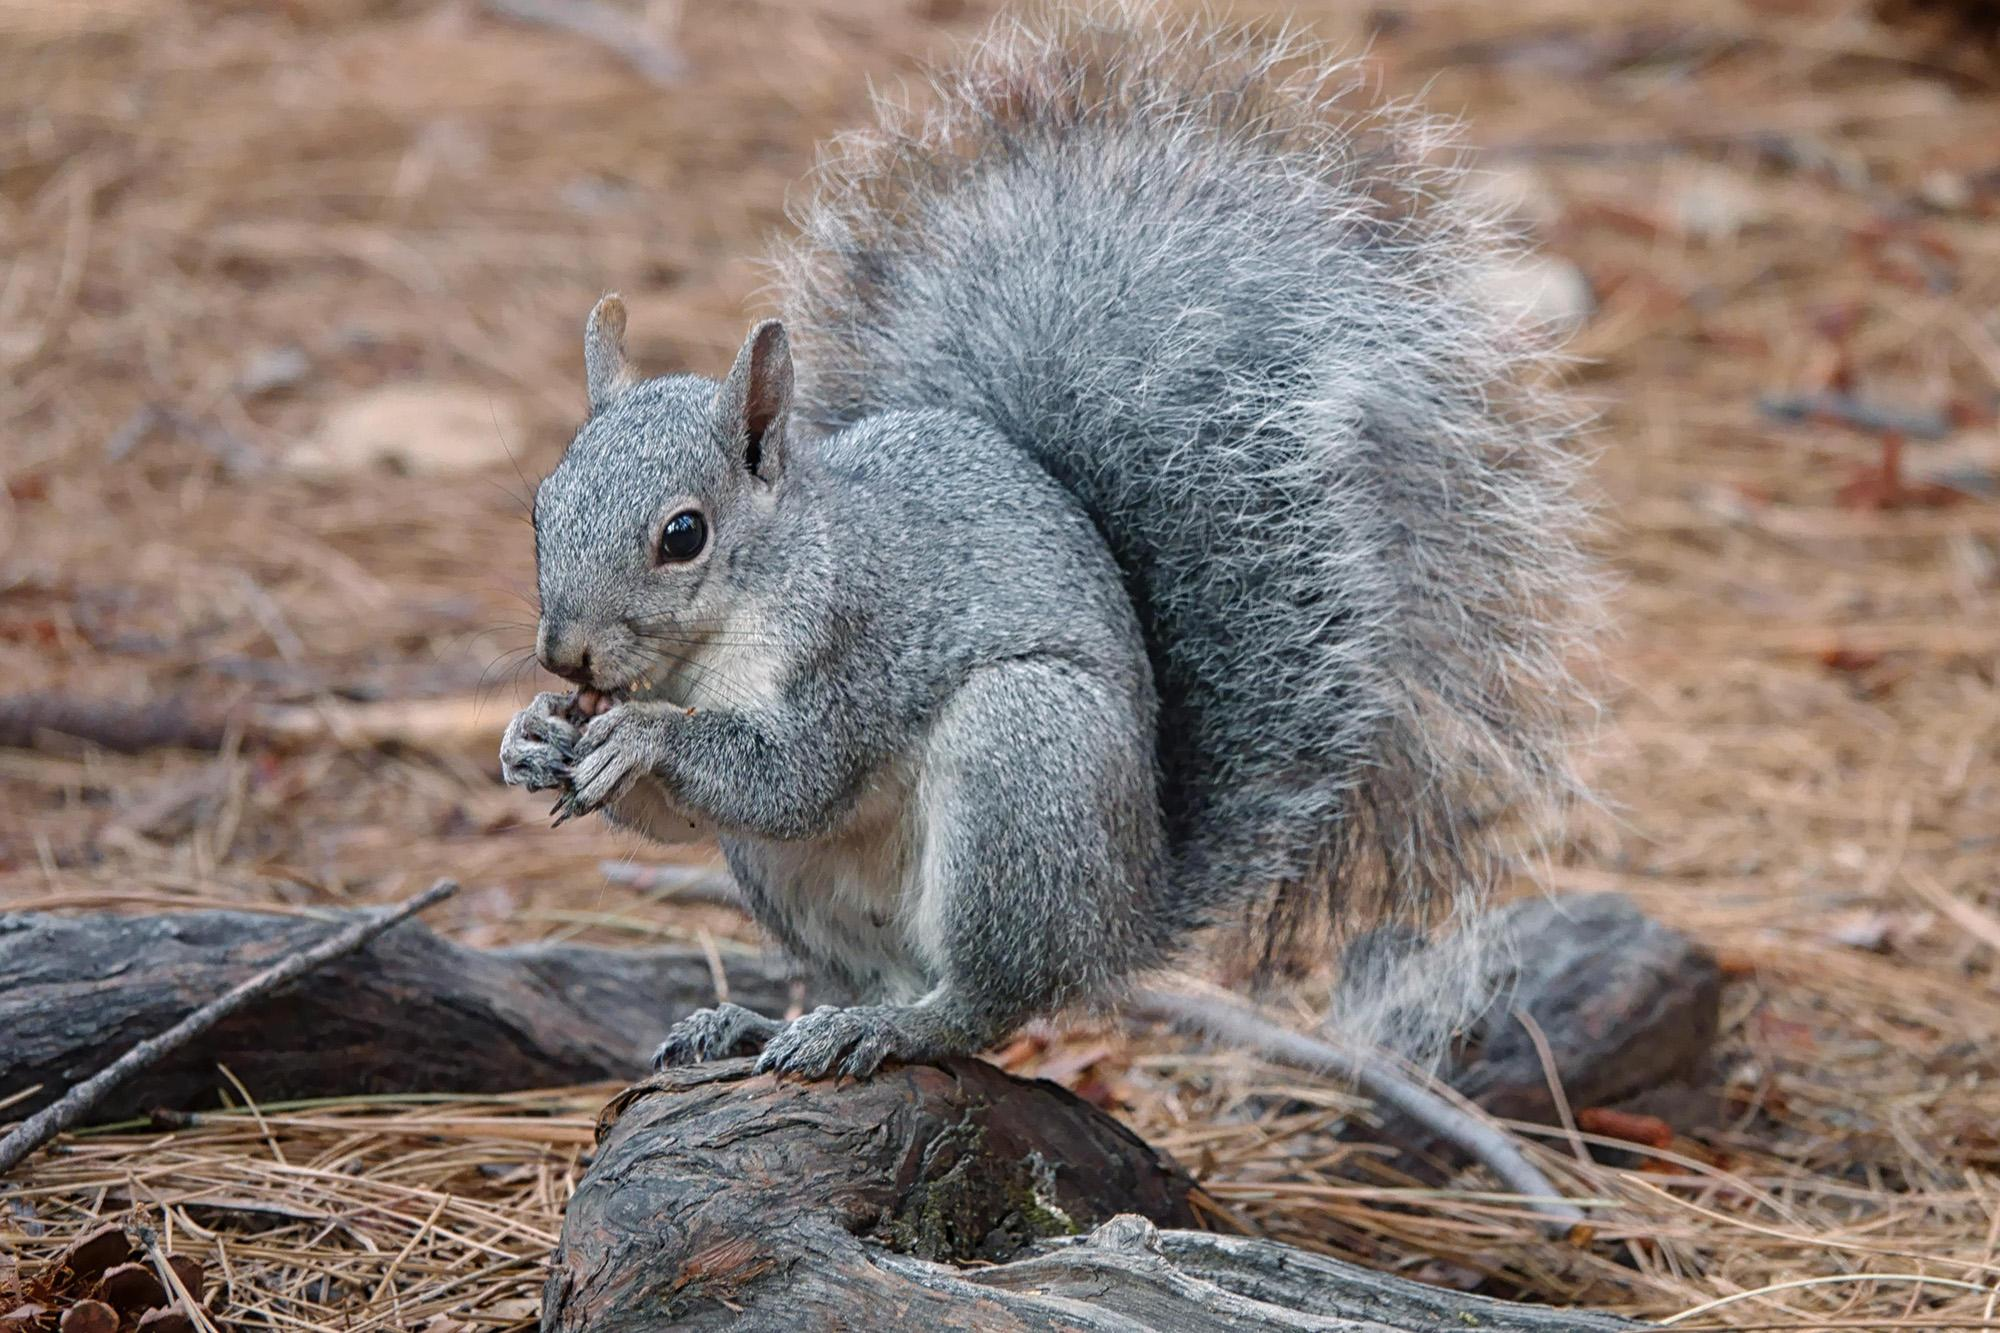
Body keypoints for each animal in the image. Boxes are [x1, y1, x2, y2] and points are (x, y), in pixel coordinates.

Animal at [499, 5, 1596, 1081]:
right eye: (539, 507)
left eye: (683, 534)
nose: (565, 655)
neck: (724, 628)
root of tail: (1130, 911)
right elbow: (691, 813)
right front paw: (532, 737)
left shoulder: (855, 645)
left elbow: (792, 776)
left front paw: (644, 735)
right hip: (802, 883)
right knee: (881, 969)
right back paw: (767, 1022)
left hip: (1025, 763)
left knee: (990, 999)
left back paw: (890, 1029)